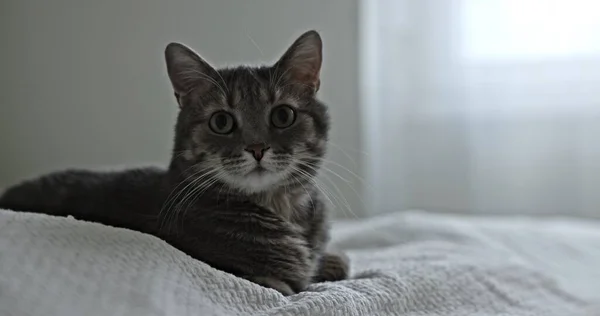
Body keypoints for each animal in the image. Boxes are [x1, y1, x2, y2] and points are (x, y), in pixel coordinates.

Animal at [0, 30, 346, 296]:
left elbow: (338, 261)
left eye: (283, 115)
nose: (257, 148)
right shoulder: (262, 281)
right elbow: (287, 284)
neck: (281, 207)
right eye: (221, 121)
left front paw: (330, 262)